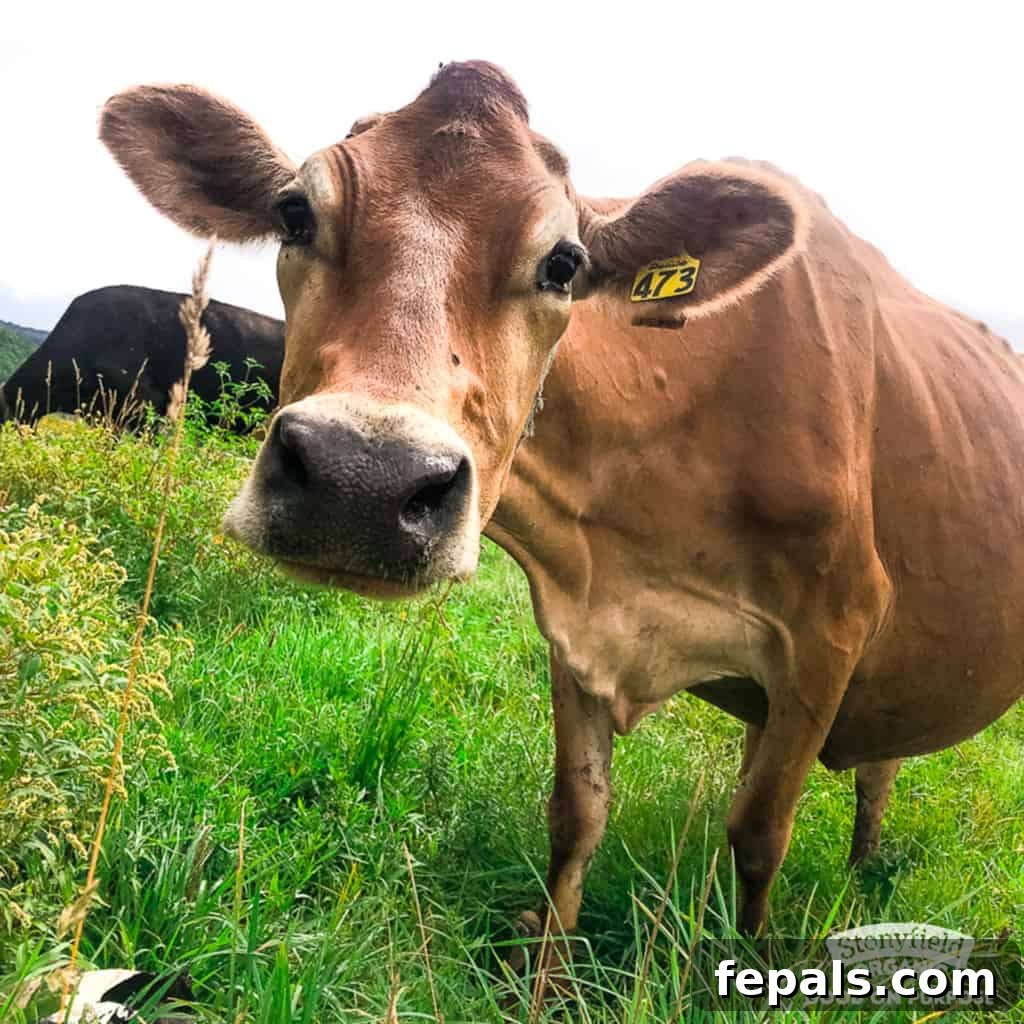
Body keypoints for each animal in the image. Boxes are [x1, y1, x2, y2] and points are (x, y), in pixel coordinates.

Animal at [98, 62, 1024, 961]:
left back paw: (864, 875)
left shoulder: (834, 629)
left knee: (872, 773)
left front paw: (744, 965)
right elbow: (576, 815)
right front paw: (546, 967)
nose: (362, 477)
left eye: (564, 263)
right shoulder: (578, 625)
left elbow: (760, 834)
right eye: (294, 213)